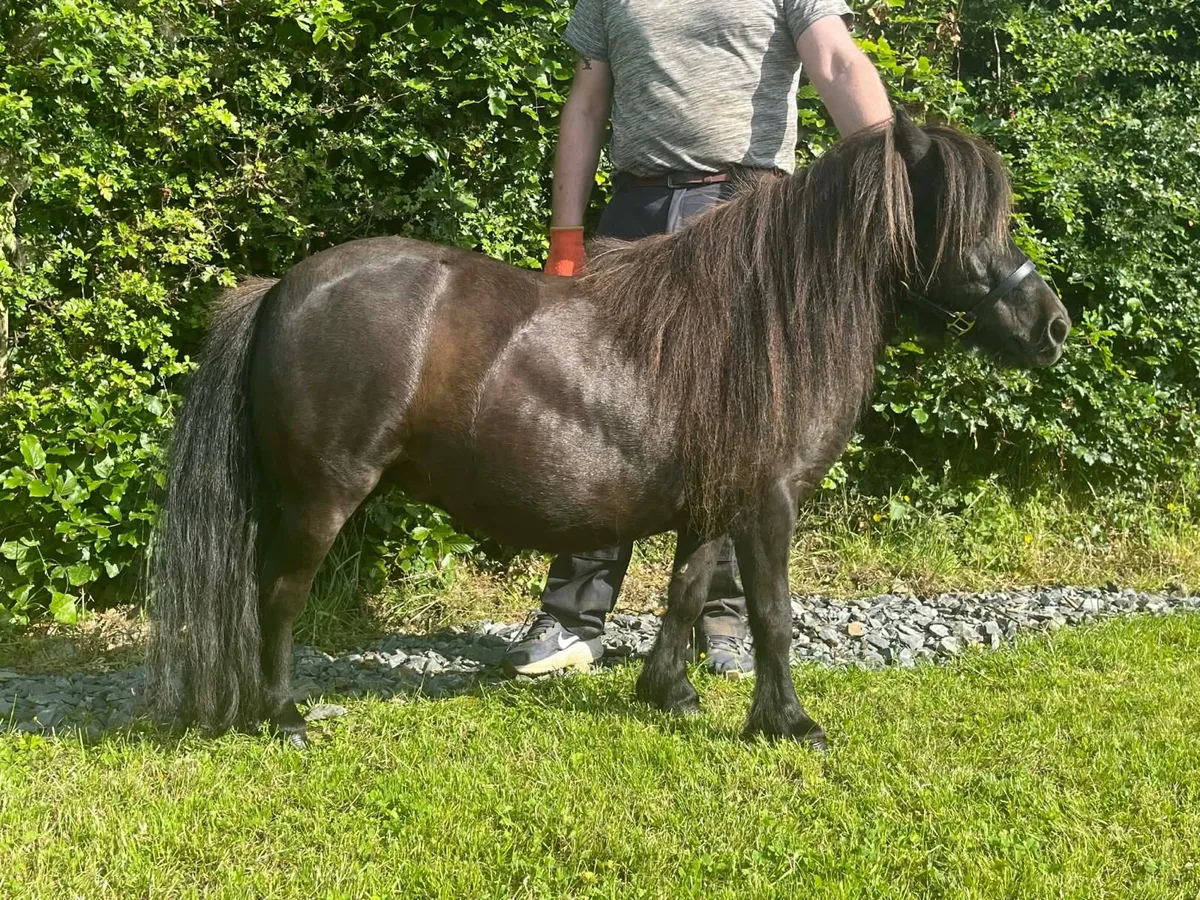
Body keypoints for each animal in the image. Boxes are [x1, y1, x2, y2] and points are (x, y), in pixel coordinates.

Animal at [147, 111, 1070, 749]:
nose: (1054, 327)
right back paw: (282, 715)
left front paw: (671, 694)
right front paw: (788, 722)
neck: (765, 322)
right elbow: (771, 612)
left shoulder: (715, 502)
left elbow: (686, 589)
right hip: (322, 497)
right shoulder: (768, 503)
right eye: (971, 226)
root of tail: (280, 289)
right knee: (279, 596)